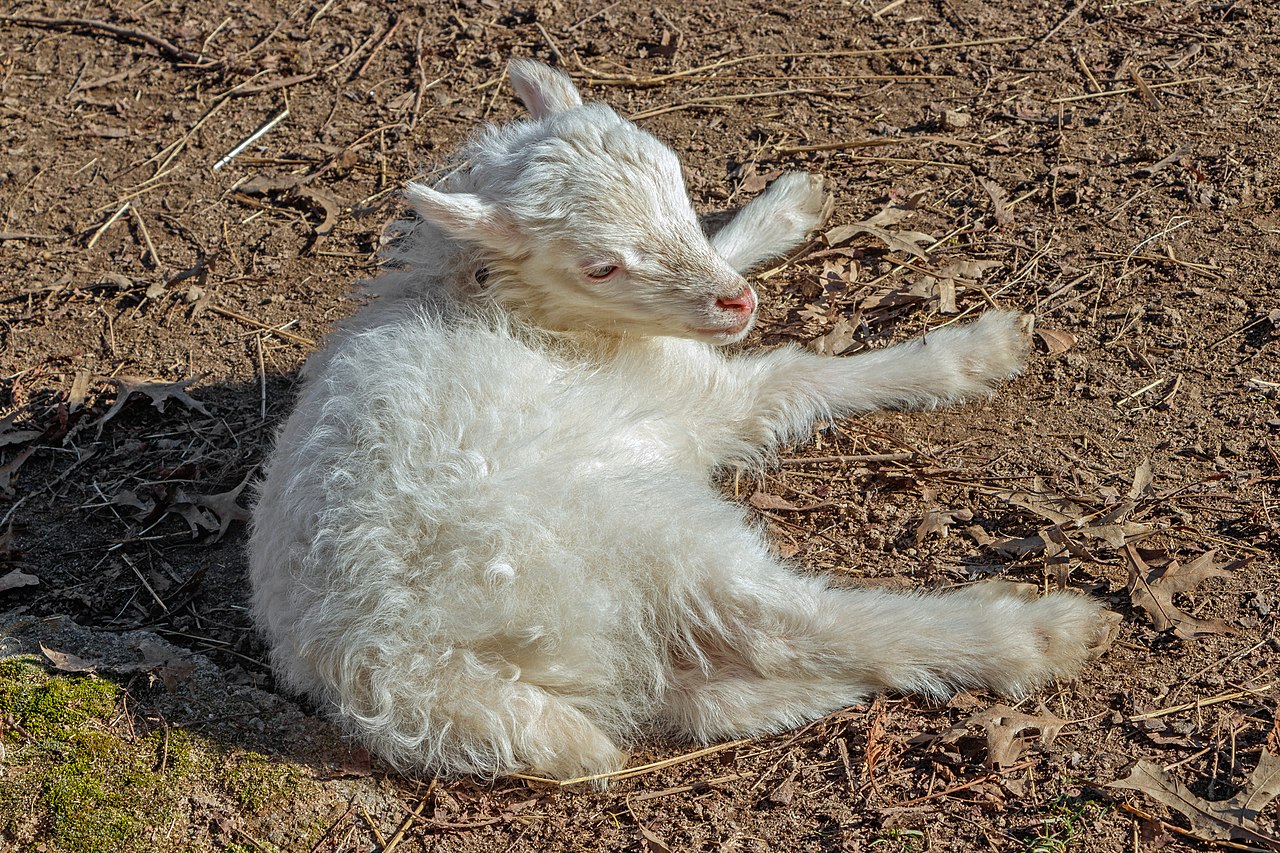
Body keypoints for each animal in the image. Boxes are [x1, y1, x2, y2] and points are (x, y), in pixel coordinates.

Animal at [248, 58, 1107, 783]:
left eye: (678, 186)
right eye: (600, 265)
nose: (736, 303)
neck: (504, 302)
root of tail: (400, 670)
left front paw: (787, 205)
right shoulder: (699, 395)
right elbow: (802, 373)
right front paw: (977, 350)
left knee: (715, 693)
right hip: (633, 532)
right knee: (784, 621)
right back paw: (1036, 632)